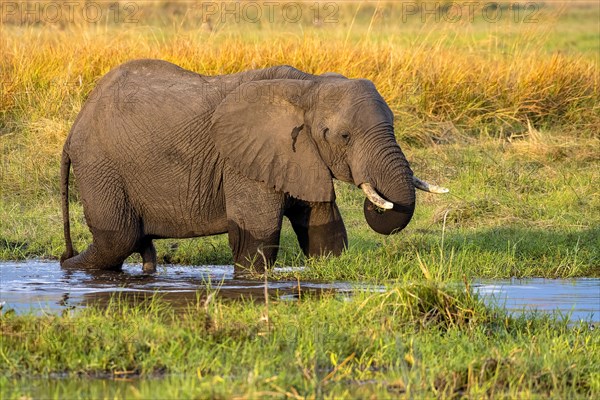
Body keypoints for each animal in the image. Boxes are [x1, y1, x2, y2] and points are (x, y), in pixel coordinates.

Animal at [59, 59, 446, 276]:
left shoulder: (298, 155)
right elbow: (256, 235)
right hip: (99, 165)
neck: (308, 85)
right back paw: (68, 268)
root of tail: (76, 124)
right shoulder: (243, 159)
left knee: (133, 240)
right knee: (118, 237)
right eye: (343, 136)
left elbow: (324, 231)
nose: (376, 198)